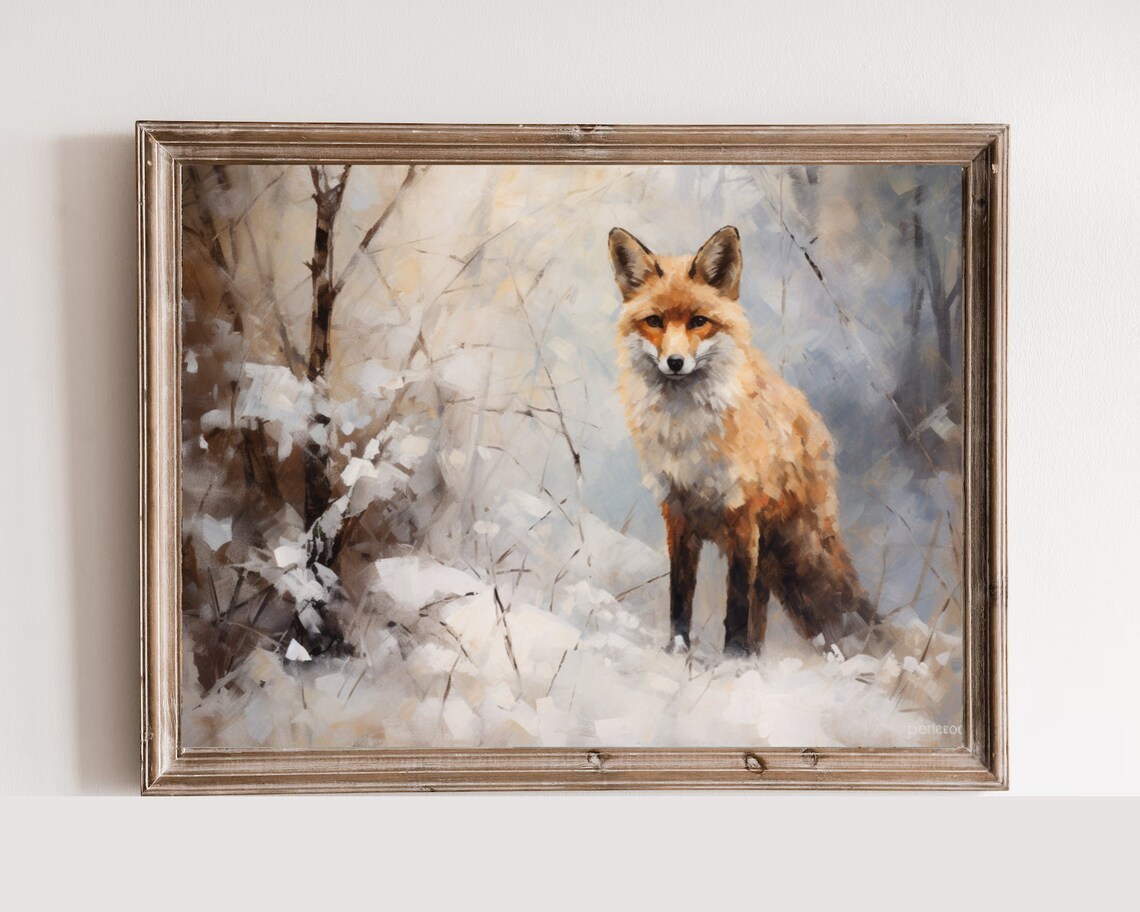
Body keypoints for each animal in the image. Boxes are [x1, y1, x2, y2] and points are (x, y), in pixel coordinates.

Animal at [610, 225, 876, 656]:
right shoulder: (677, 512)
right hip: (774, 560)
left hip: (795, 552)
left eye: (699, 321)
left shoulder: (741, 514)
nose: (675, 362)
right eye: (654, 321)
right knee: (771, 611)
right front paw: (678, 651)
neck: (688, 434)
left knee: (832, 612)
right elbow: (680, 596)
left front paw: (732, 659)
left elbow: (736, 603)